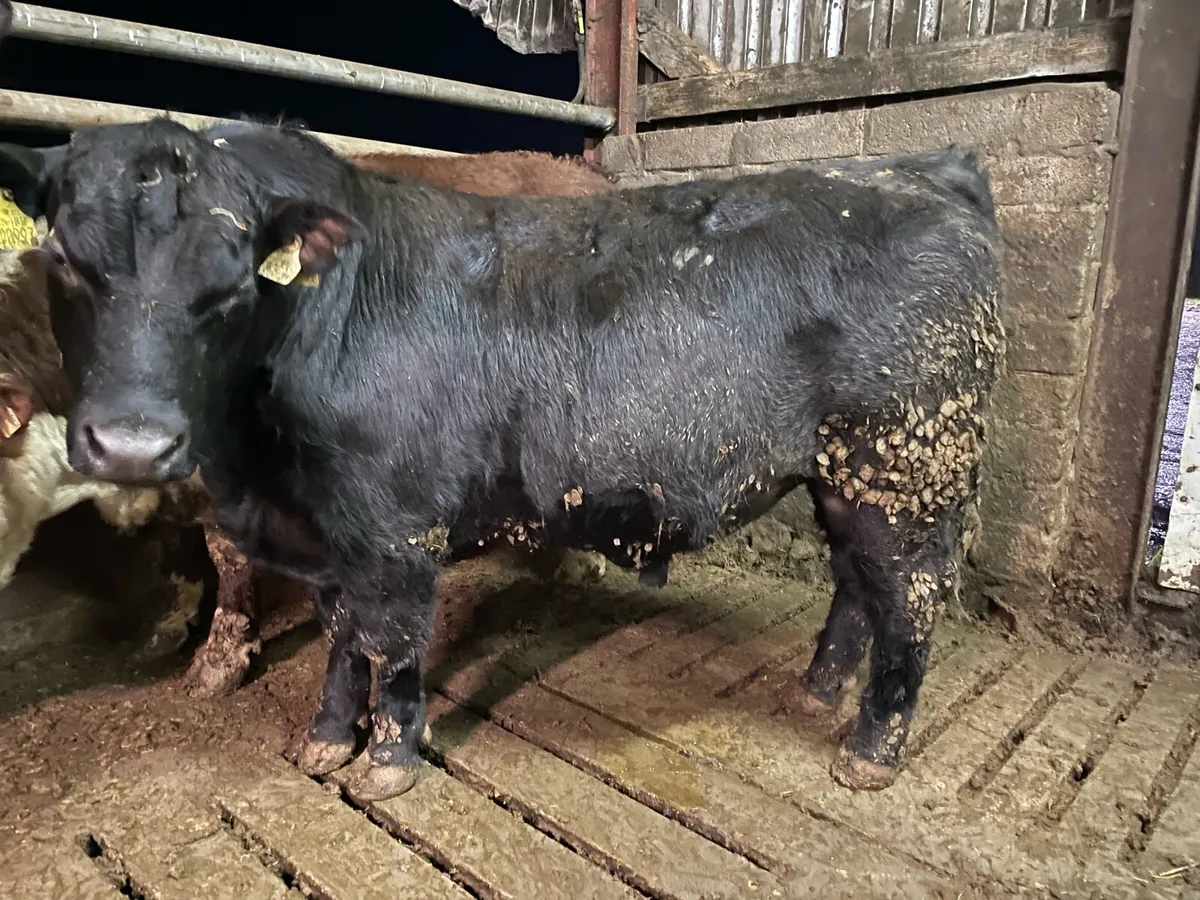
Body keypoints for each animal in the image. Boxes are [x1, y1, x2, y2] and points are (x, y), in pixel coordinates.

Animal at [0, 117, 1005, 803]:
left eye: (234, 274)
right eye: (68, 259)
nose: (132, 442)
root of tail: (923, 170)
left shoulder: (397, 530)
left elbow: (394, 646)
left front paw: (387, 760)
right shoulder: (330, 537)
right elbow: (340, 640)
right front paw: (324, 738)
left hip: (911, 470)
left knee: (910, 599)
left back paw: (868, 750)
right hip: (847, 478)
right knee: (855, 582)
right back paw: (815, 694)